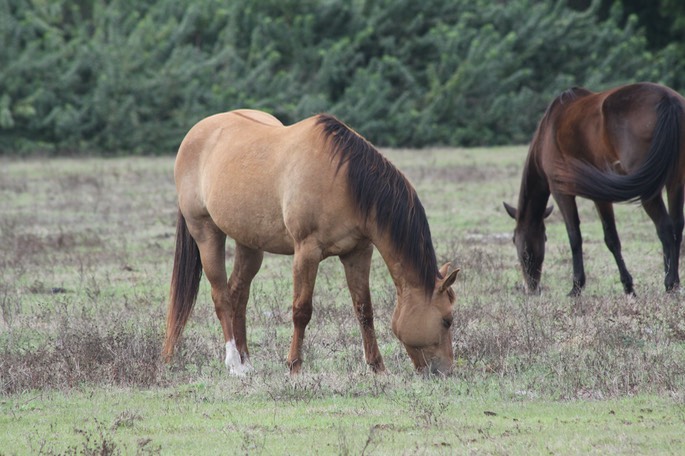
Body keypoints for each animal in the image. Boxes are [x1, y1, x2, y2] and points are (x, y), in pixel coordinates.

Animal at [162, 109, 460, 374]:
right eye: (447, 320)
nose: (446, 371)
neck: (344, 181)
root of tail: (196, 133)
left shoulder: (358, 252)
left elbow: (364, 310)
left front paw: (377, 367)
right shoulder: (307, 252)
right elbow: (302, 310)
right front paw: (294, 366)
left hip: (250, 243)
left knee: (238, 293)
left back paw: (247, 361)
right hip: (205, 232)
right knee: (222, 296)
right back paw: (235, 364)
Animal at [502, 82, 684, 298]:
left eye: (515, 240)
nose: (531, 288)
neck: (547, 134)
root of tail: (668, 99)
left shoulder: (563, 192)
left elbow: (578, 237)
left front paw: (578, 287)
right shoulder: (602, 195)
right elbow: (611, 238)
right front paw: (629, 286)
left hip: (649, 189)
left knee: (665, 227)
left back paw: (670, 283)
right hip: (675, 181)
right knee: (677, 225)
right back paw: (676, 282)